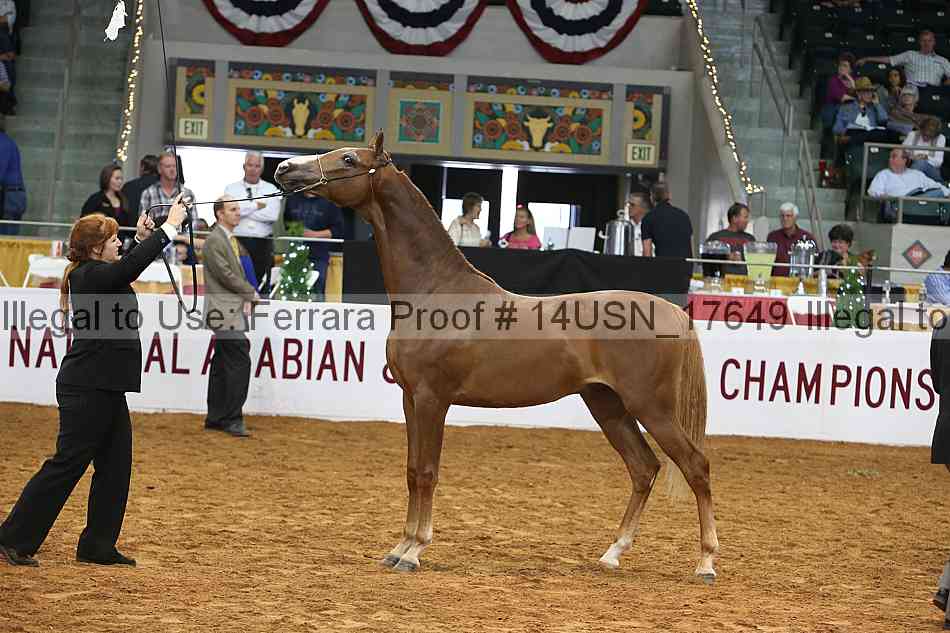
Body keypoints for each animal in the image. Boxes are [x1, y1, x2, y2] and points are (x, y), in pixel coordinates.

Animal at [274, 131, 719, 582]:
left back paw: (705, 561)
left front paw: (415, 550)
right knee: (644, 468)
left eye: (349, 158)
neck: (435, 291)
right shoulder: (410, 399)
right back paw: (613, 553)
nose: (284, 169)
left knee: (696, 465)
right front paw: (398, 548)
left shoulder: (433, 399)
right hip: (607, 405)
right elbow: (413, 472)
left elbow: (429, 472)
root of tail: (673, 311)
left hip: (651, 407)